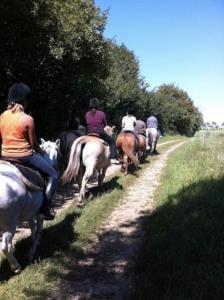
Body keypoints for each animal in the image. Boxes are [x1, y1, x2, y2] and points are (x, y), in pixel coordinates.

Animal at [0, 139, 60, 274]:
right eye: (57, 150)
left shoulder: (30, 212)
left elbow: (32, 226)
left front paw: (33, 242)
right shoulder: (40, 213)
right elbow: (38, 229)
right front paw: (32, 251)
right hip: (9, 224)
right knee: (5, 246)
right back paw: (16, 267)